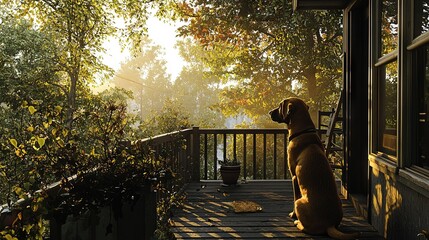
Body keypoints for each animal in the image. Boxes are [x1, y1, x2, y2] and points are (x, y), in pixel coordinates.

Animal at [270, 98, 360, 240]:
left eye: (279, 106)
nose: (269, 112)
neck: (302, 131)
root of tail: (329, 224)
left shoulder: (294, 177)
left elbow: (295, 196)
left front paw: (293, 215)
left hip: (299, 203)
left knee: (306, 227)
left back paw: (297, 222)